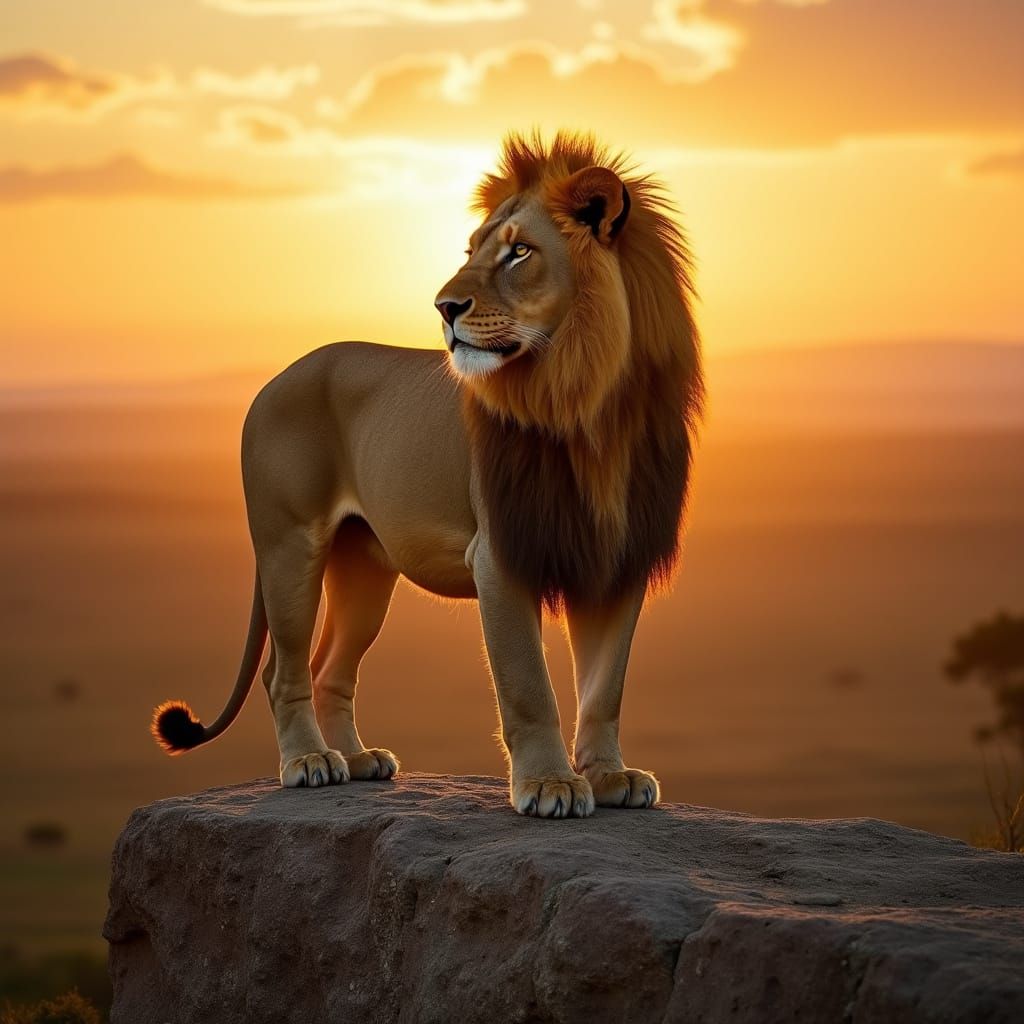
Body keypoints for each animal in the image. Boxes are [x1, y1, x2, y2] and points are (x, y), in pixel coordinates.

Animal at [152, 131, 702, 818]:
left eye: (519, 252)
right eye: (471, 251)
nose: (445, 306)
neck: (591, 404)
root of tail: (276, 377)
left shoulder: (616, 557)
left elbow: (605, 689)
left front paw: (609, 778)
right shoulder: (500, 556)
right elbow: (528, 687)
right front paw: (549, 785)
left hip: (364, 566)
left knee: (332, 667)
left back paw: (359, 760)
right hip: (289, 544)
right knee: (284, 670)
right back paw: (309, 763)